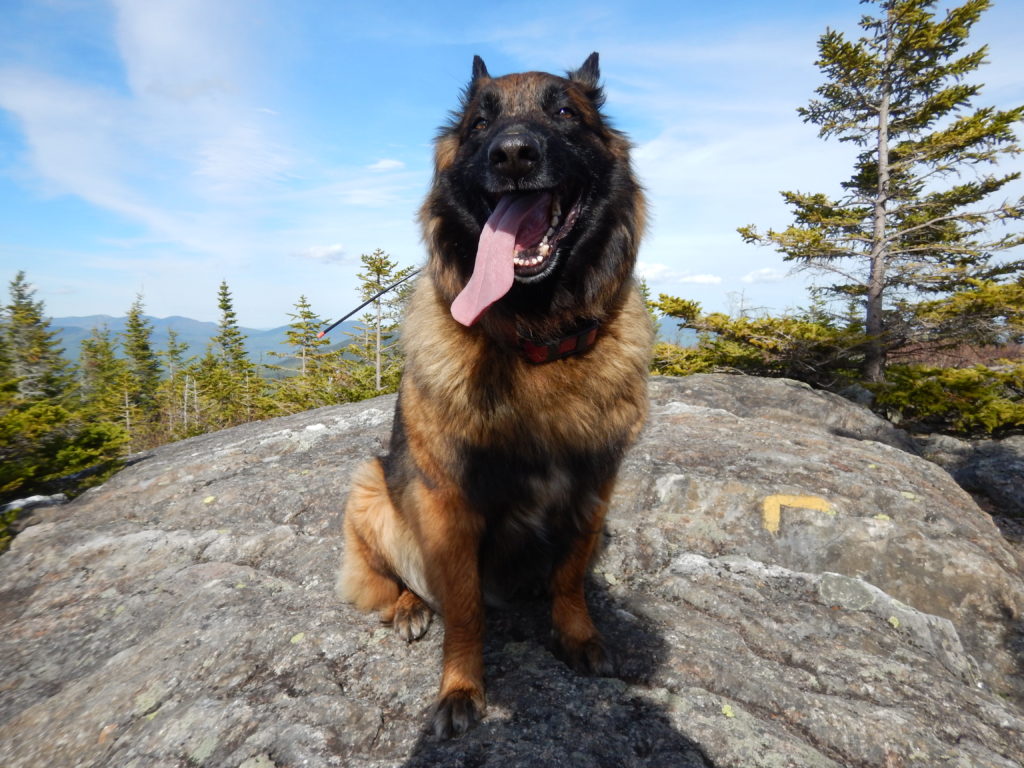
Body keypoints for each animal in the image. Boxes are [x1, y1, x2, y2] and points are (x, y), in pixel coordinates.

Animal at [339, 52, 651, 741]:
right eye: (480, 125)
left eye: (564, 112)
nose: (512, 155)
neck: (536, 339)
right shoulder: (448, 505)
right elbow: (464, 610)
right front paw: (461, 687)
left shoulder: (594, 487)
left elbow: (571, 577)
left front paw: (577, 634)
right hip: (369, 486)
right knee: (385, 583)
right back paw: (407, 606)